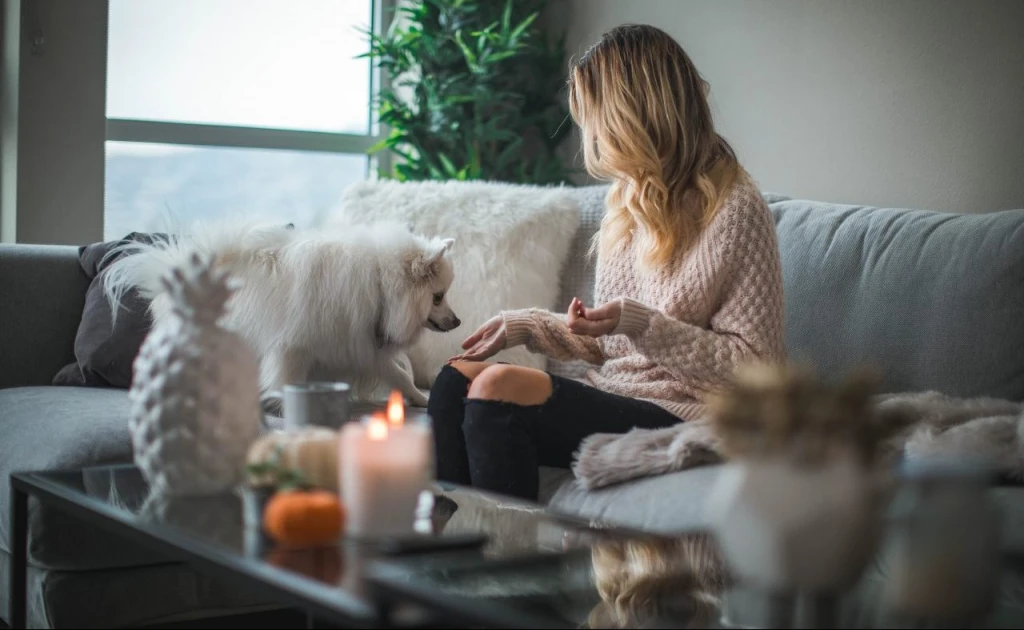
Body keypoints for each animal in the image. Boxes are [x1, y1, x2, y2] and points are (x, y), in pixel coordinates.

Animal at [101, 217, 458, 407]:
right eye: (438, 297)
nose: (457, 322)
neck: (379, 283)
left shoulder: (360, 344)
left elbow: (399, 375)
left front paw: (420, 399)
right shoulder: (294, 347)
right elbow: (287, 379)